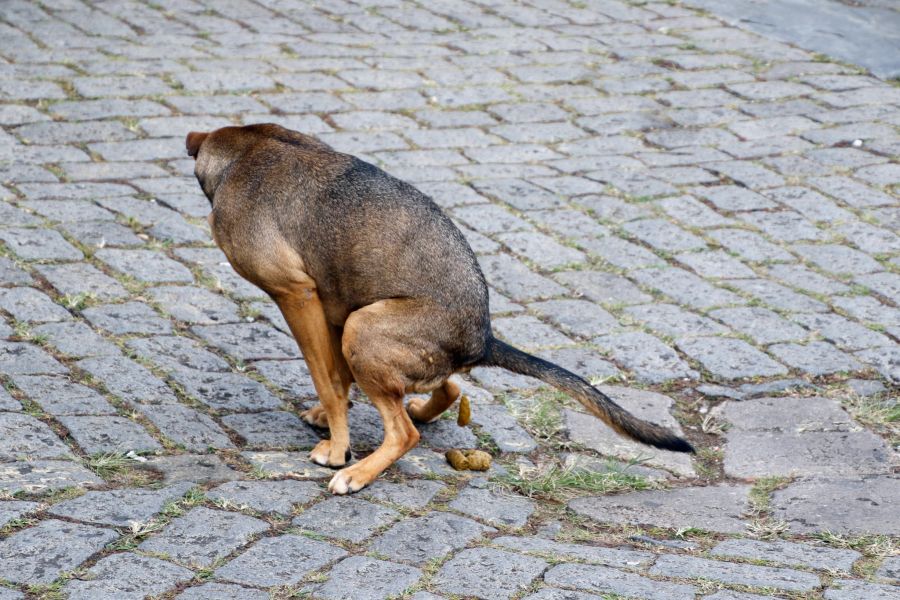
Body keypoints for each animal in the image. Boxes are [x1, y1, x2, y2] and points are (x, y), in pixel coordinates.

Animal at [185, 124, 696, 494]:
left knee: (404, 433)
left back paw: (360, 472)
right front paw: (333, 421)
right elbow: (336, 378)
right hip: (358, 320)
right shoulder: (328, 303)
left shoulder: (298, 295)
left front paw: (338, 448)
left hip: (362, 326)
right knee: (446, 389)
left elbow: (328, 381)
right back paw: (417, 410)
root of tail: (482, 339)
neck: (247, 145)